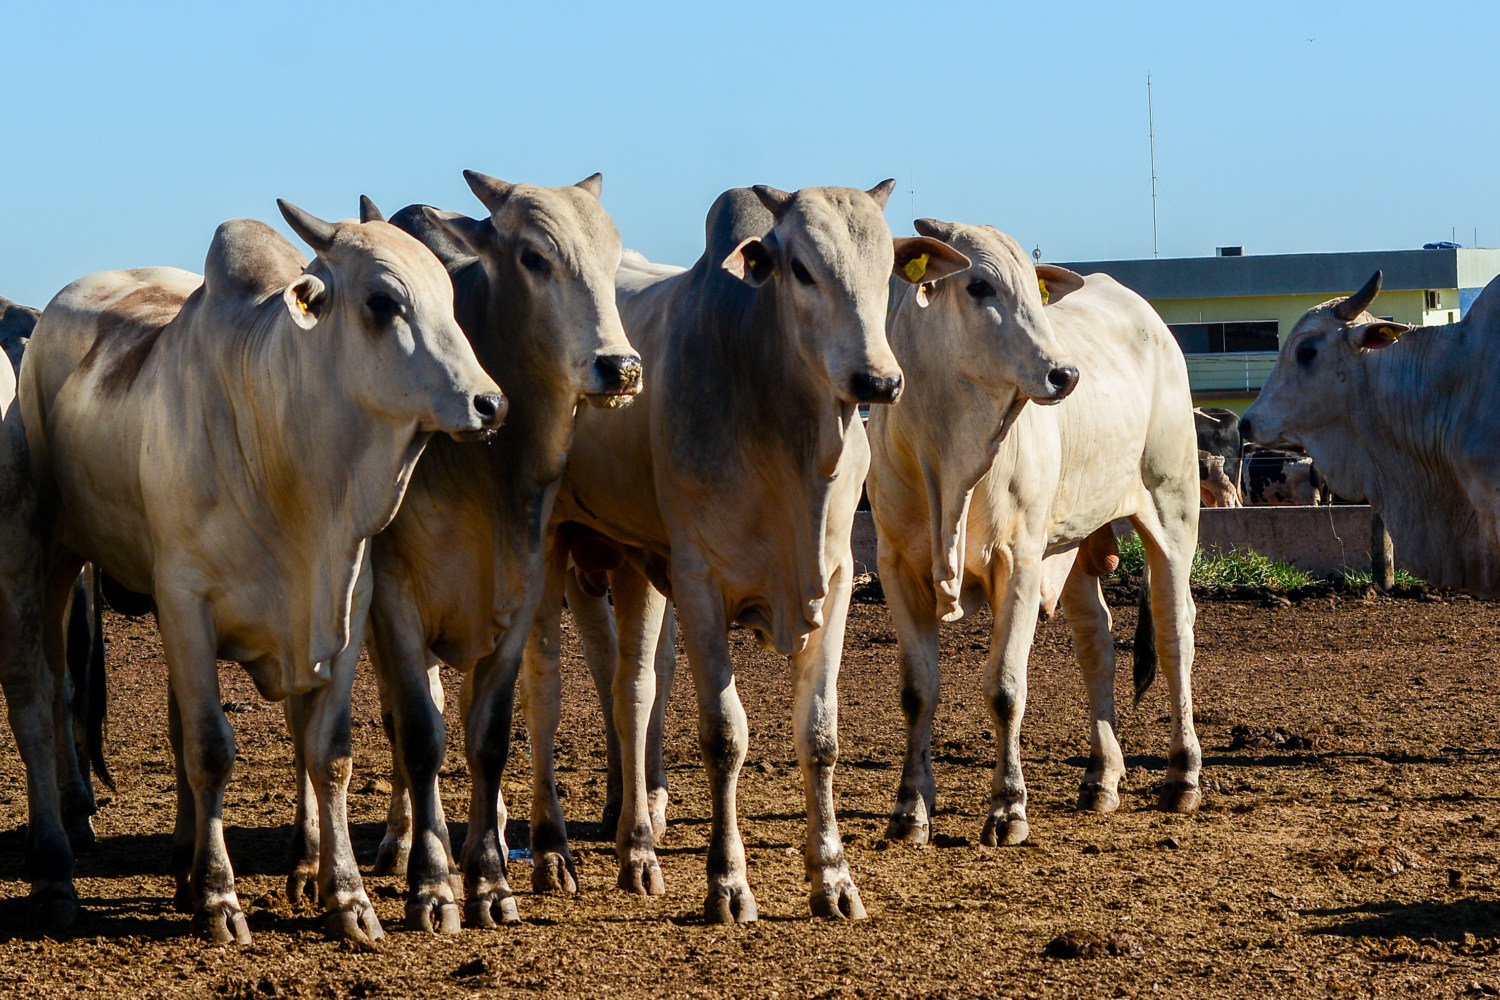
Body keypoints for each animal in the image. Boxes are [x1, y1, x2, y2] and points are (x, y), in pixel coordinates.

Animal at [19, 205, 504, 947]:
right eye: (382, 302)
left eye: (448, 299)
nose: (489, 403)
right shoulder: (186, 601)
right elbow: (211, 747)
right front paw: (221, 900)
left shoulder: (343, 605)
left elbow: (328, 753)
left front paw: (346, 896)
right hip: (53, 561)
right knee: (48, 704)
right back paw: (58, 874)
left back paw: (184, 866)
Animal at [519, 182, 972, 923]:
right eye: (804, 270)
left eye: (886, 273)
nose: (877, 381)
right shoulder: (700, 584)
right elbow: (724, 735)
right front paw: (728, 884)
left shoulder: (838, 580)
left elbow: (819, 735)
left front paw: (833, 879)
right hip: (549, 544)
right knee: (543, 693)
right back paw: (552, 852)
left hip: (628, 562)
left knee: (631, 689)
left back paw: (633, 841)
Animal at [864, 217, 1200, 845]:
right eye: (978, 286)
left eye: (1033, 288)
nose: (1064, 373)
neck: (950, 460)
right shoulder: (898, 566)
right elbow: (917, 692)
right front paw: (909, 810)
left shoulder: (1016, 560)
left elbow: (1005, 687)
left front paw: (1008, 808)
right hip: (1071, 544)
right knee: (1097, 642)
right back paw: (1101, 778)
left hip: (1172, 509)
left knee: (1174, 635)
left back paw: (1182, 775)